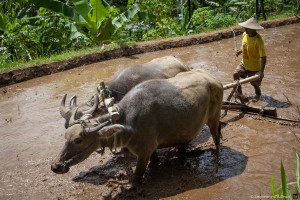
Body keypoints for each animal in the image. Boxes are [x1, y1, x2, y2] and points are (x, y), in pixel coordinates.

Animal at [51, 69, 223, 182]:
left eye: (78, 140)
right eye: (65, 136)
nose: (55, 166)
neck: (126, 121)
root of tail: (214, 80)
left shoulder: (144, 152)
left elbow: (137, 177)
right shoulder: (151, 151)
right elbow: (155, 162)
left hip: (214, 118)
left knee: (216, 136)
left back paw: (217, 155)